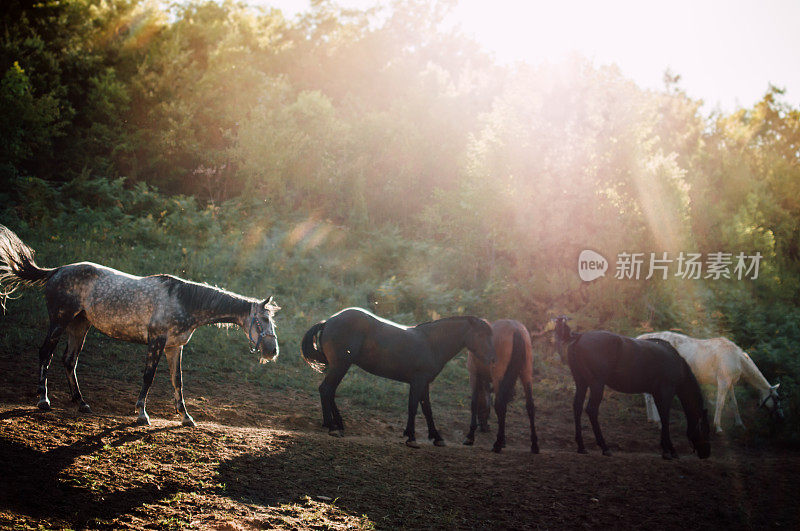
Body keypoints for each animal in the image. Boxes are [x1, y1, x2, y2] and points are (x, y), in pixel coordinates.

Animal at [298, 308, 494, 448]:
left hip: (340, 367)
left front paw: (436, 437)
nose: (491, 359)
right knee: (326, 390)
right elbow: (413, 407)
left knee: (329, 392)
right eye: (482, 335)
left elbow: (427, 410)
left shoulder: (424, 384)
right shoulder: (418, 382)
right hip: (341, 366)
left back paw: (337, 424)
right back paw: (332, 427)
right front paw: (411, 437)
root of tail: (328, 321)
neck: (432, 343)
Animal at [460, 320, 540, 454]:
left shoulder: (474, 374)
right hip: (526, 374)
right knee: (530, 406)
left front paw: (470, 436)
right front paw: (503, 441)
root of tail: (515, 329)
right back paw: (534, 445)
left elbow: (474, 402)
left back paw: (497, 444)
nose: (485, 427)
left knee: (500, 404)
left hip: (498, 376)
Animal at [636, 330, 780, 434]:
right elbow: (720, 404)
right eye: (776, 398)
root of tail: (643, 339)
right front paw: (718, 427)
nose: (779, 417)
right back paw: (659, 422)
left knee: (648, 397)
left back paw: (653, 420)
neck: (736, 358)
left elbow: (734, 404)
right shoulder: (723, 382)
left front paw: (740, 424)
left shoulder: (730, 383)